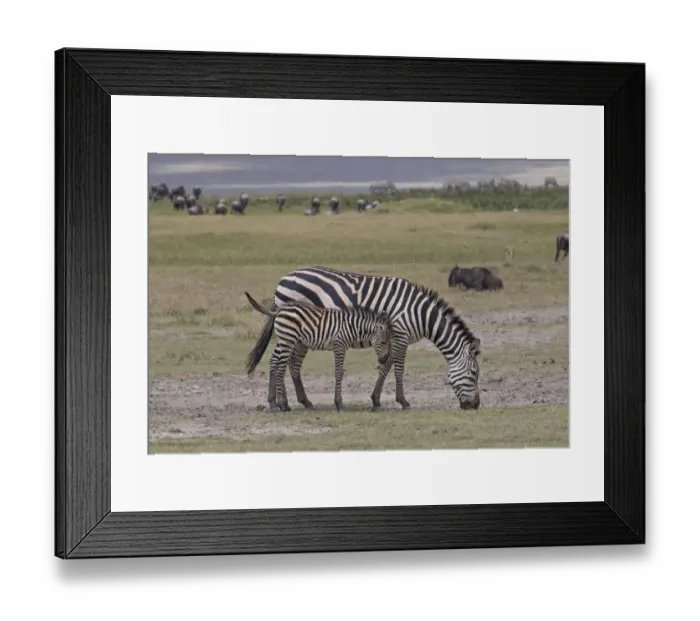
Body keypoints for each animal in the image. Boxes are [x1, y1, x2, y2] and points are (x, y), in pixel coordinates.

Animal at [244, 292, 393, 412]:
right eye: (384, 342)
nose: (385, 359)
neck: (352, 327)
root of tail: (280, 310)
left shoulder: (342, 346)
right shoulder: (339, 345)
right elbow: (339, 372)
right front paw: (339, 404)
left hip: (287, 340)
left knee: (275, 362)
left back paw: (277, 403)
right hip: (288, 339)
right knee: (280, 367)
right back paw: (283, 405)